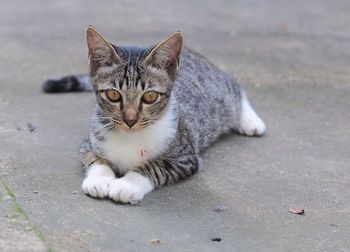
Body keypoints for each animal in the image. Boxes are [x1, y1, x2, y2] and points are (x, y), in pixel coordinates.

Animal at [42, 26, 266, 205]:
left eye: (149, 96)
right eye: (113, 94)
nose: (130, 120)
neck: (130, 138)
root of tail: (193, 52)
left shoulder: (185, 157)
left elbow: (155, 166)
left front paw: (126, 185)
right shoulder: (89, 141)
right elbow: (94, 158)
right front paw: (100, 180)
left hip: (219, 91)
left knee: (234, 85)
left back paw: (251, 121)